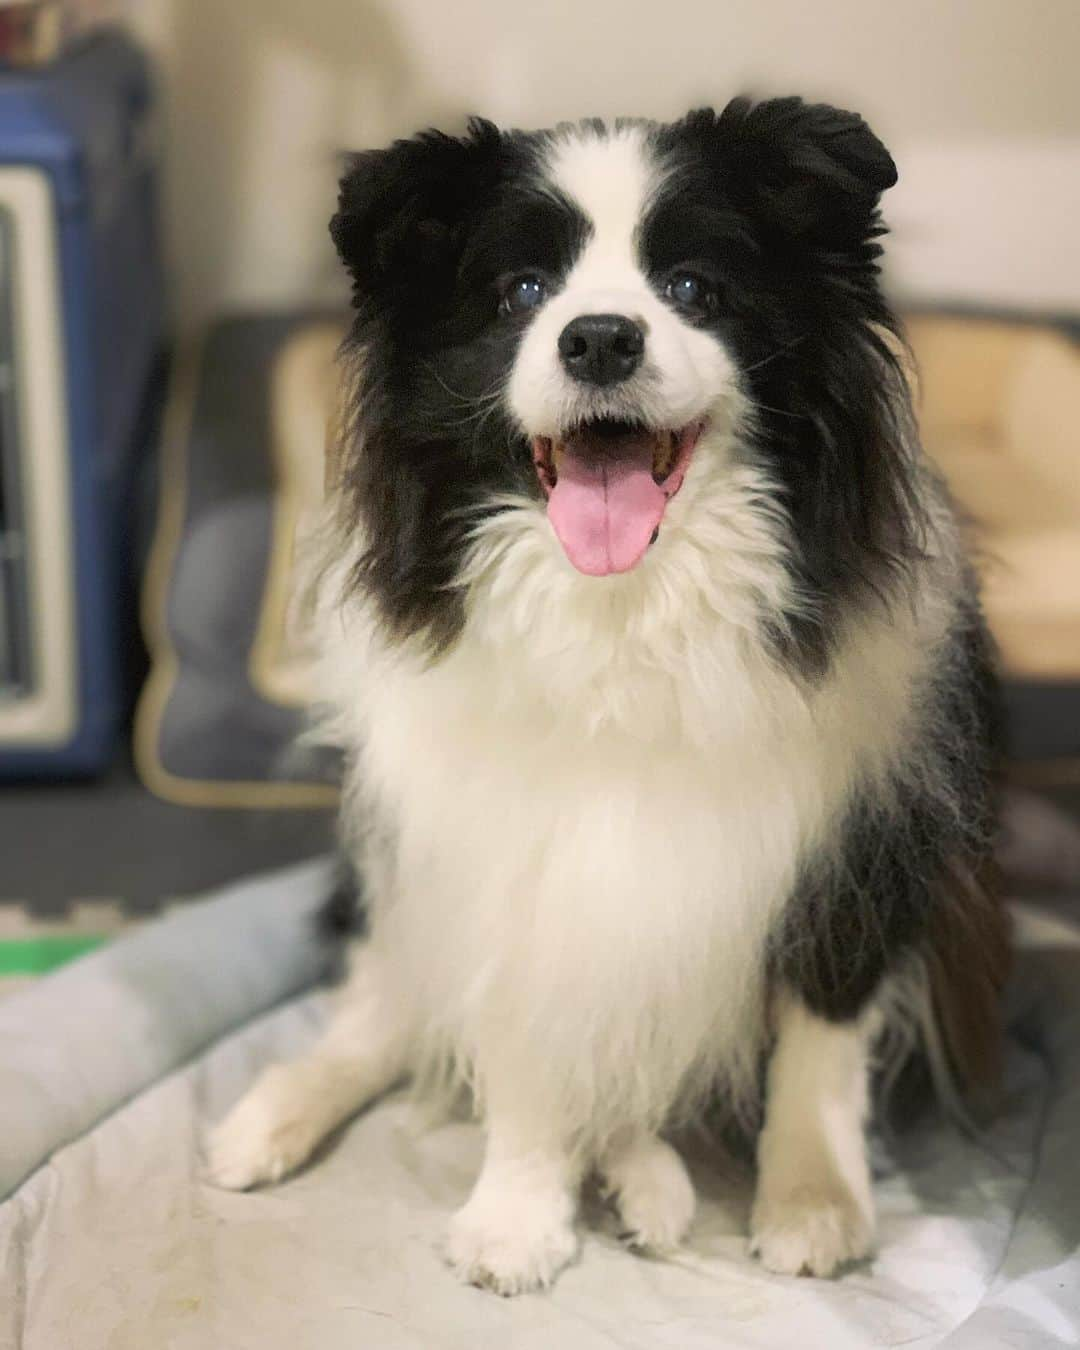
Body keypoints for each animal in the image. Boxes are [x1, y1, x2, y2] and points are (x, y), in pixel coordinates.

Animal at [205, 99, 1015, 1290]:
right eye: (519, 293)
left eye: (692, 287)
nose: (598, 339)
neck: (628, 612)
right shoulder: (505, 856)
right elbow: (522, 1032)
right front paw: (515, 1219)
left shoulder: (861, 840)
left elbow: (821, 1039)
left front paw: (813, 1200)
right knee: (381, 1004)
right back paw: (270, 1118)